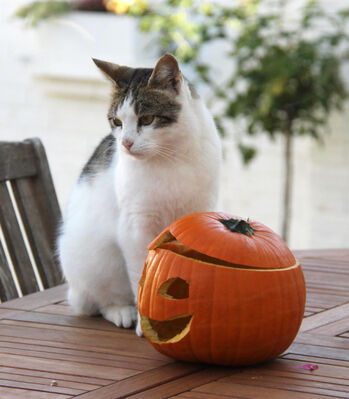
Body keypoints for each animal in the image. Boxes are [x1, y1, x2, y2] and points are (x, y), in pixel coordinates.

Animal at [57, 52, 220, 334]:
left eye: (146, 119)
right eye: (117, 122)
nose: (125, 143)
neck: (171, 157)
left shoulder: (200, 213)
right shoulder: (135, 228)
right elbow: (142, 274)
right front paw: (146, 324)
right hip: (95, 261)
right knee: (97, 303)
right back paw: (122, 311)